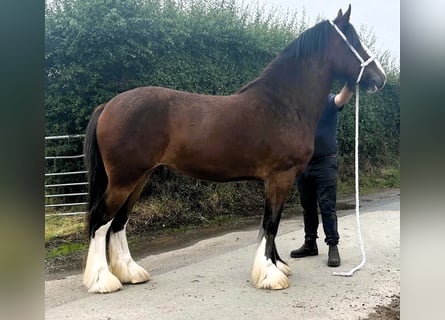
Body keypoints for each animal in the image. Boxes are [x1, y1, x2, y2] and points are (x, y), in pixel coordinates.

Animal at [82, 5, 386, 296]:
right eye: (353, 40)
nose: (380, 78)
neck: (284, 103)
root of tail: (108, 106)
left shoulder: (275, 180)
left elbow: (270, 224)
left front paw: (277, 265)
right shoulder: (281, 177)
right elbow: (271, 223)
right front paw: (270, 275)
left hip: (139, 178)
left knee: (119, 222)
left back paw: (130, 273)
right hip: (124, 179)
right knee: (101, 219)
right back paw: (102, 281)